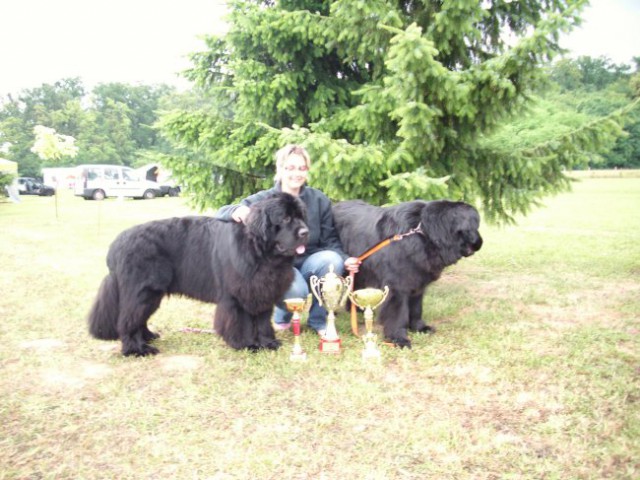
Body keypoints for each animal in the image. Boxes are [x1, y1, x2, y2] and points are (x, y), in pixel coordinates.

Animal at [89, 192, 308, 356]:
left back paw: (148, 336)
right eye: (286, 218)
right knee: (128, 320)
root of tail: (116, 244)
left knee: (138, 318)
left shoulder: (263, 291)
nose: (306, 232)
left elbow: (262, 321)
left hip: (151, 294)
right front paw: (247, 344)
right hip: (142, 291)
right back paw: (136, 349)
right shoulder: (237, 295)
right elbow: (241, 322)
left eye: (301, 217)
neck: (260, 252)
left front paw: (268, 343)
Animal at [332, 201, 482, 346]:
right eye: (474, 227)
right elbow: (397, 314)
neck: (424, 234)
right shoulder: (397, 288)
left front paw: (419, 327)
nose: (480, 243)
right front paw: (399, 338)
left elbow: (416, 308)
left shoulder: (417, 282)